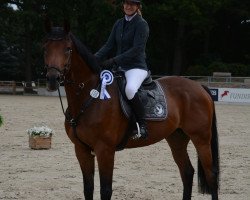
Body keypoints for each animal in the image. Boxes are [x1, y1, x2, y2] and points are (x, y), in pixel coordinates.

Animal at [44, 22, 220, 200]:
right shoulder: (81, 149)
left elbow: (105, 190)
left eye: (67, 49)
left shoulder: (105, 150)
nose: (52, 79)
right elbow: (88, 188)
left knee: (211, 175)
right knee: (187, 172)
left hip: (201, 139)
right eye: (45, 48)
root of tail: (200, 87)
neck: (89, 96)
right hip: (177, 138)